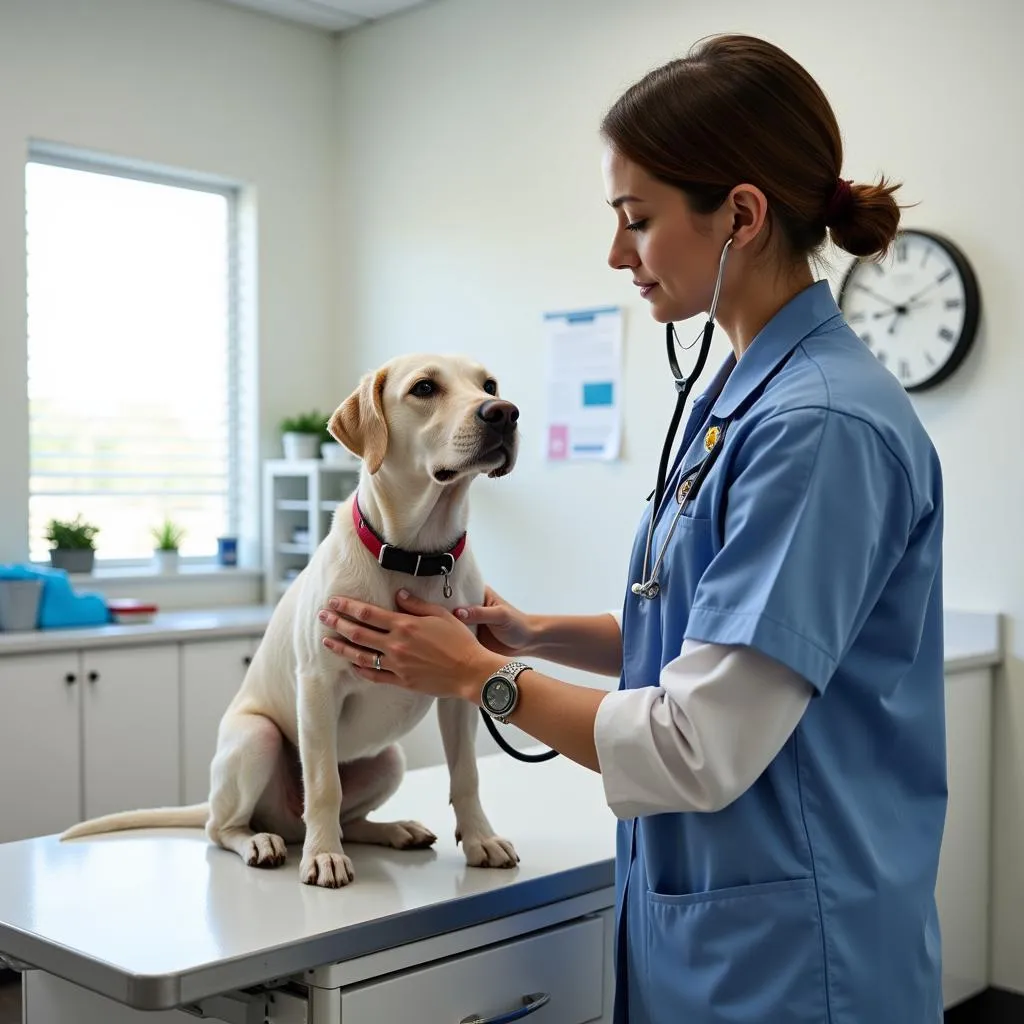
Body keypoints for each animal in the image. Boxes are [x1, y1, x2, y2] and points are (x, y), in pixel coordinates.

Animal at [61, 356, 520, 884]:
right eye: (424, 388)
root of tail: (281, 822)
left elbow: (466, 774)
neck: (417, 557)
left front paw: (481, 839)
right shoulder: (318, 685)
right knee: (223, 829)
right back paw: (265, 842)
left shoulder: (460, 691)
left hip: (389, 760)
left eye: (489, 386)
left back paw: (391, 830)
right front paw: (323, 857)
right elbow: (322, 783)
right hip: (255, 739)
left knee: (350, 819)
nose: (505, 413)